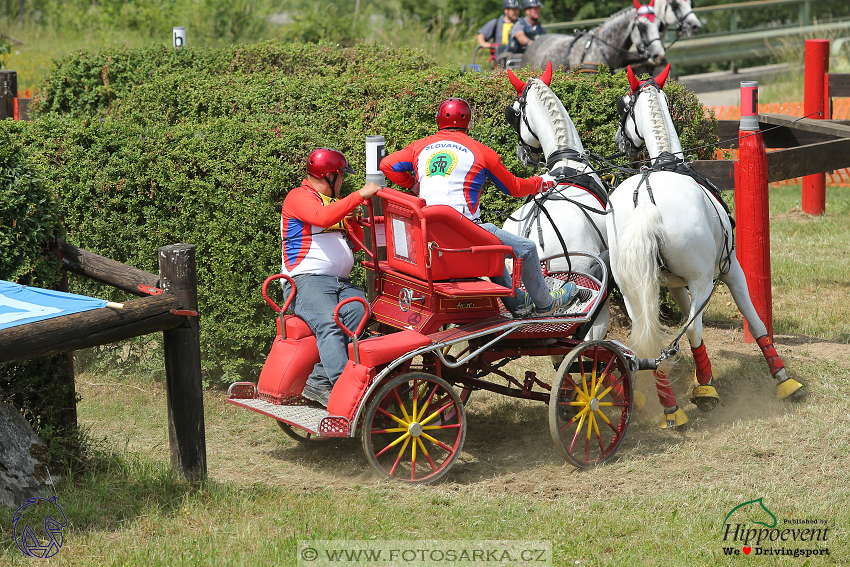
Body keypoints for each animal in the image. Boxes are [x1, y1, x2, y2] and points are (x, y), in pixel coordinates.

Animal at [608, 65, 800, 430]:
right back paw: (703, 396)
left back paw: (671, 406)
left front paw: (703, 376)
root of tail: (647, 203)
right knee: (694, 329)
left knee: (650, 338)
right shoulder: (731, 270)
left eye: (623, 105)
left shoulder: (675, 285)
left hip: (633, 289)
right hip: (702, 281)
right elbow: (754, 320)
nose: (619, 142)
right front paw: (782, 377)